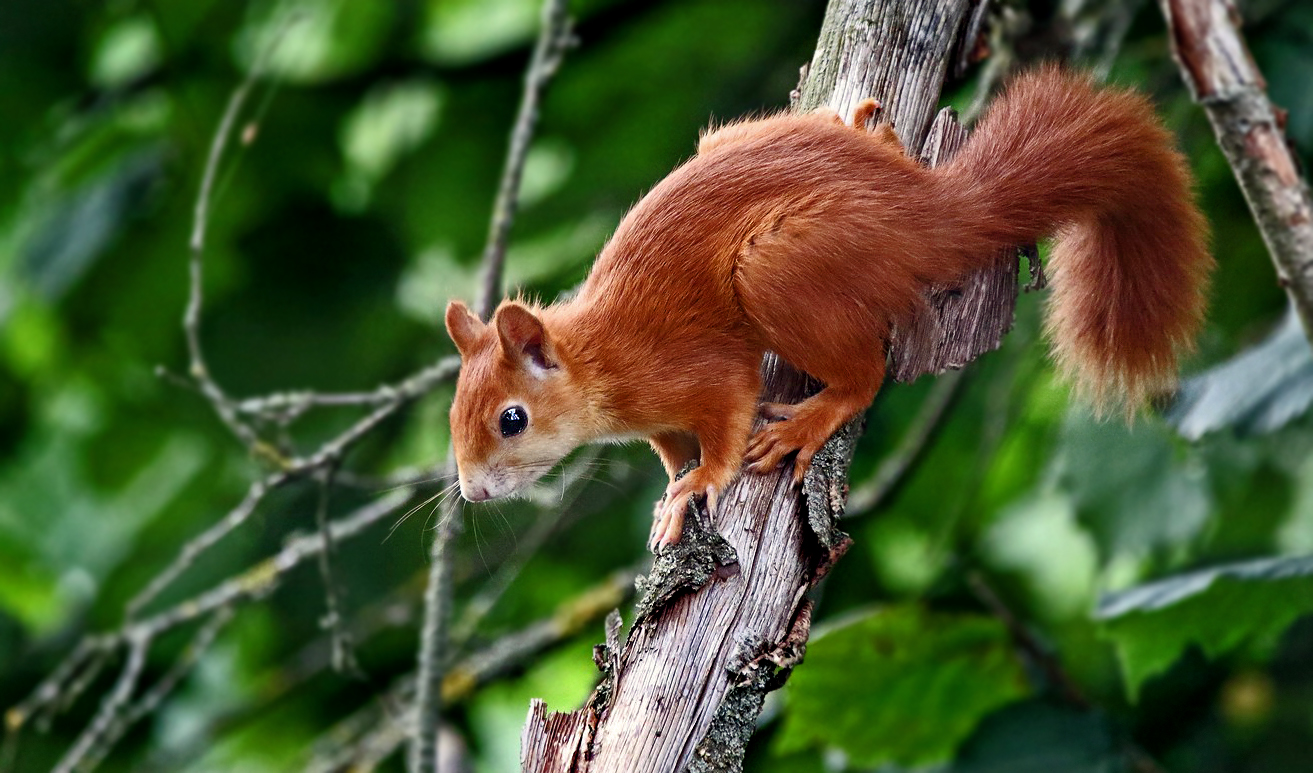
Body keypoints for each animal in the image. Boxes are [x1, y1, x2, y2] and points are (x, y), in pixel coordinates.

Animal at [441, 67, 1207, 548]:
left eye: (512, 419)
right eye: (453, 415)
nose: (473, 495)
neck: (601, 358)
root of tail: (925, 212)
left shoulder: (699, 370)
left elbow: (725, 423)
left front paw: (698, 483)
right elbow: (669, 448)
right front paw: (671, 485)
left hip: (776, 268)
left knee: (865, 376)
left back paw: (812, 418)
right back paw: (874, 127)